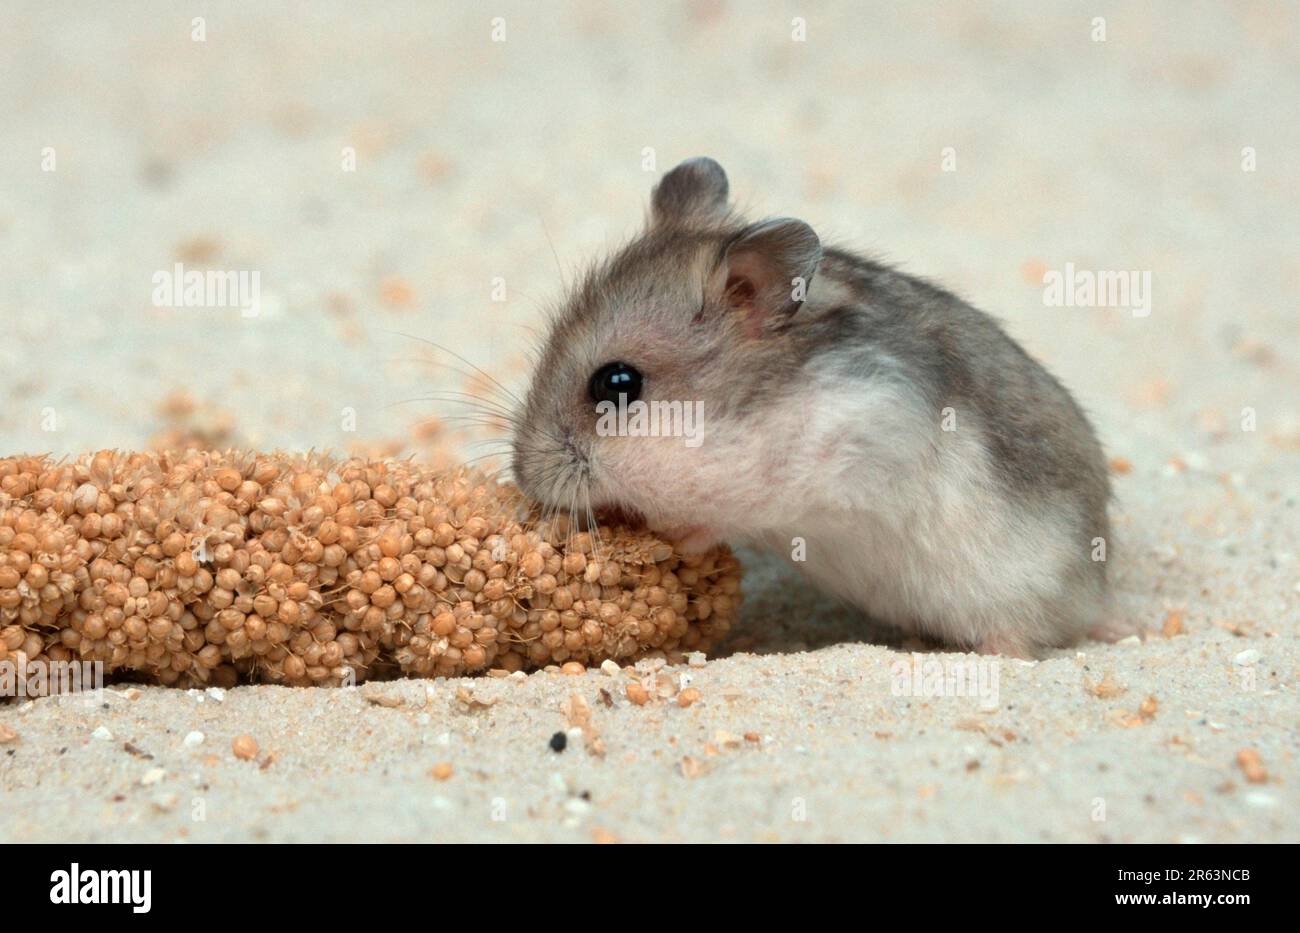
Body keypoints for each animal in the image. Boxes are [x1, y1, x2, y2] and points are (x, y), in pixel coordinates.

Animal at [511, 157, 1128, 658]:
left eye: (616, 383)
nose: (525, 479)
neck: (746, 409)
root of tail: (1092, 596)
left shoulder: (834, 462)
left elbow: (727, 514)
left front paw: (670, 537)